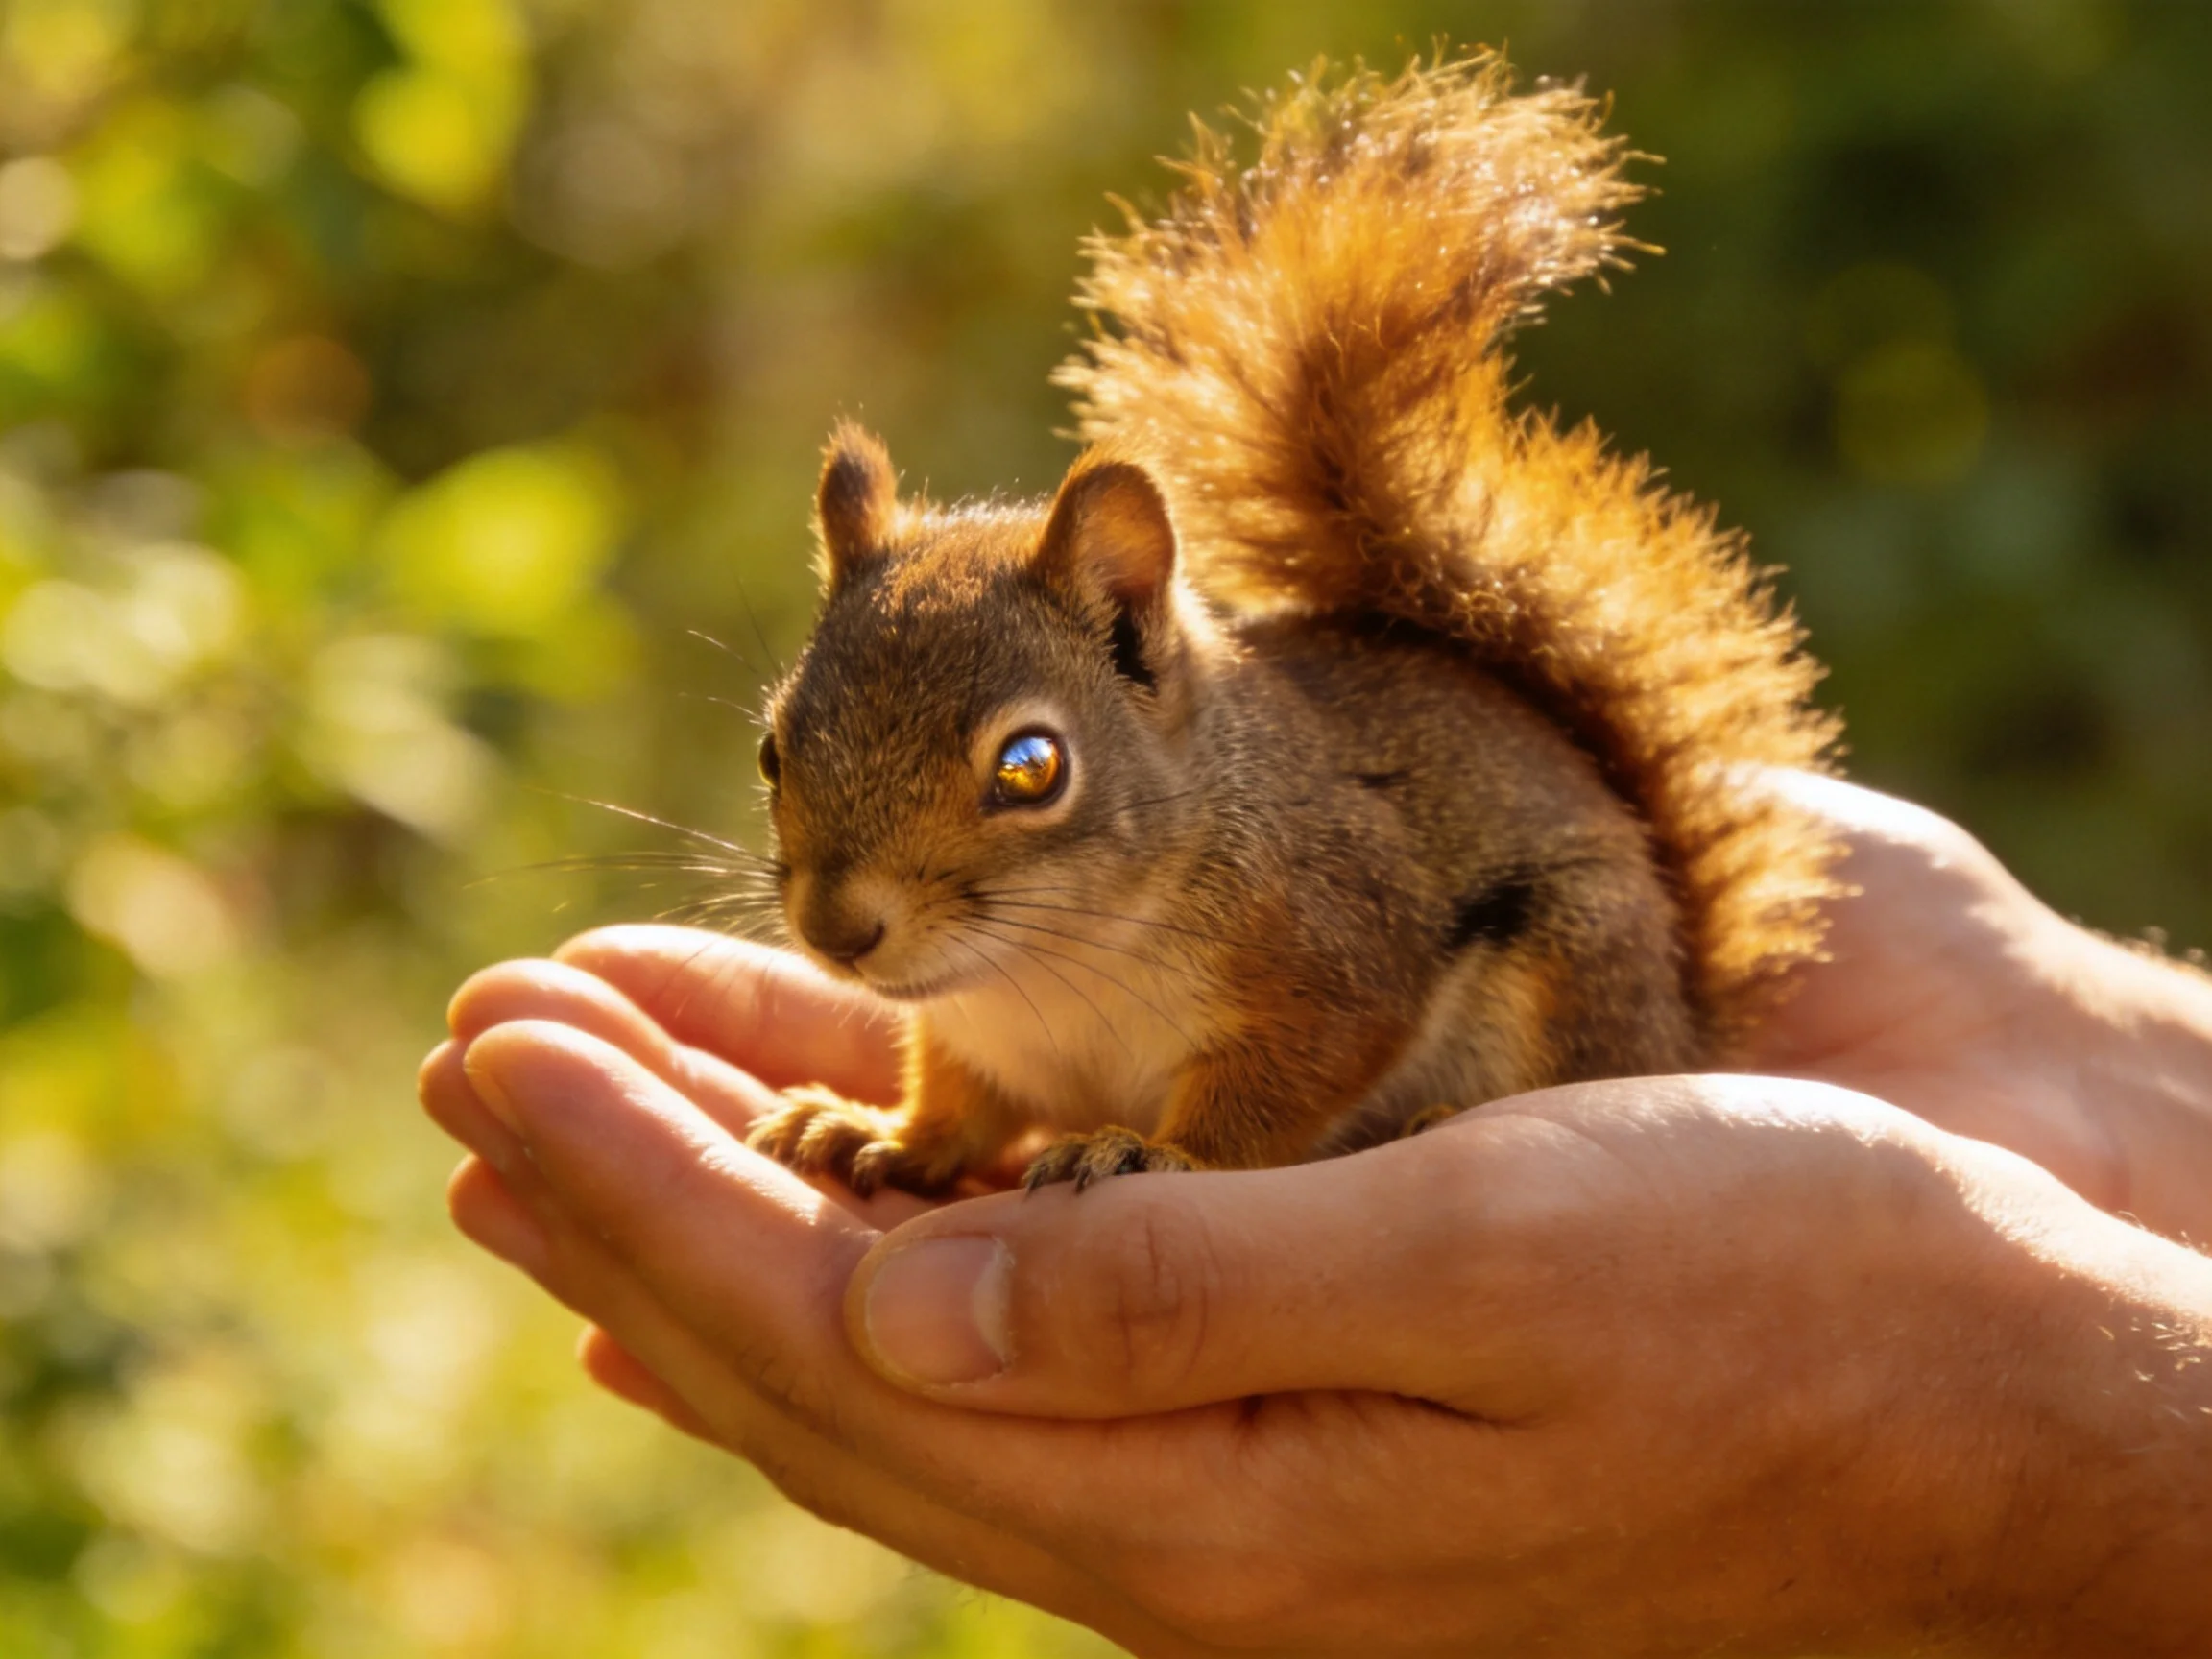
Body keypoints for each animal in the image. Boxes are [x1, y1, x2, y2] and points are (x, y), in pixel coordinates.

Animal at [740, 51, 1841, 1196]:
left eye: (1032, 767)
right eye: (773, 751)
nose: (837, 932)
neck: (1043, 967)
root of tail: (1681, 1027)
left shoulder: (1338, 948)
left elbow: (1279, 1088)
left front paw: (1153, 1149)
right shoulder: (971, 1036)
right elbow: (959, 1107)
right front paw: (874, 1131)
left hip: (1570, 969)